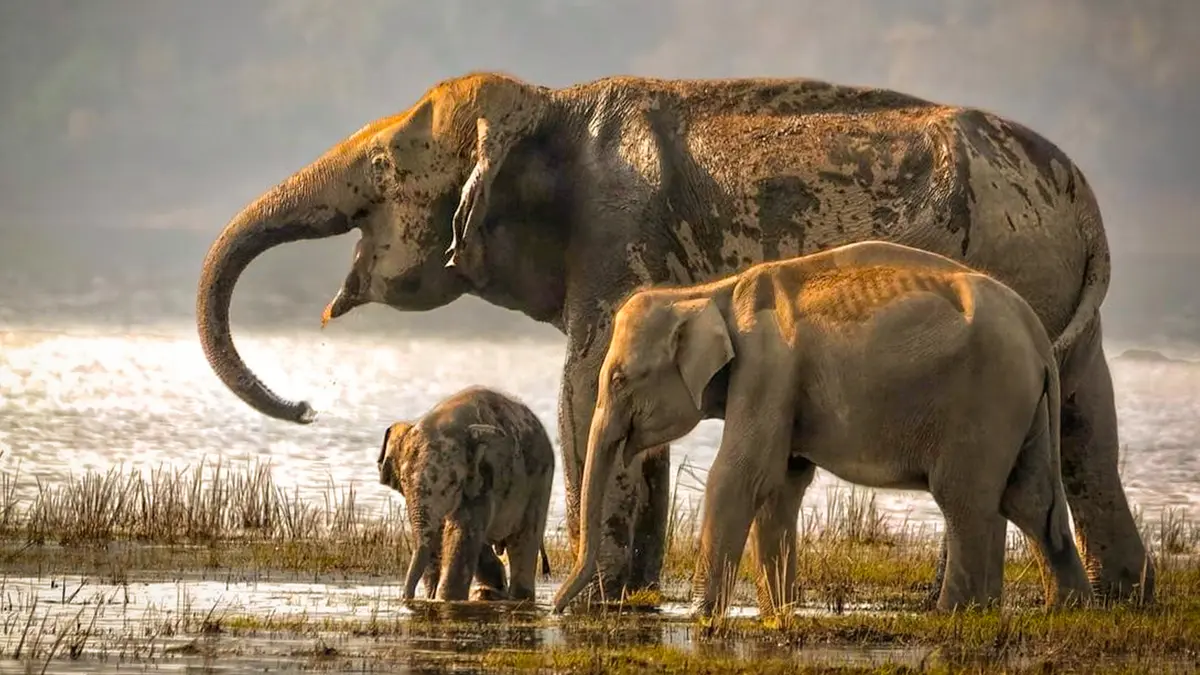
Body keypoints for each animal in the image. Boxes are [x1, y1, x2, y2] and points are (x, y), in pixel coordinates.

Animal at [377, 386, 555, 602]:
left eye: (453, 483)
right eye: (403, 481)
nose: (407, 598)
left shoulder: (483, 480)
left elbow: (460, 531)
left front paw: (446, 599)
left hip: (540, 482)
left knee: (524, 541)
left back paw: (518, 596)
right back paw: (490, 591)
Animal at [553, 240, 1095, 617]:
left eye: (619, 379)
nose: (556, 610)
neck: (708, 292)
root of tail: (1037, 337)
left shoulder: (766, 367)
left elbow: (740, 476)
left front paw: (704, 617)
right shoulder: (781, 383)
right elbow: (782, 487)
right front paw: (780, 612)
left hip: (986, 399)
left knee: (966, 500)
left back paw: (953, 614)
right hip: (1021, 407)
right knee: (1031, 501)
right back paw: (1069, 610)